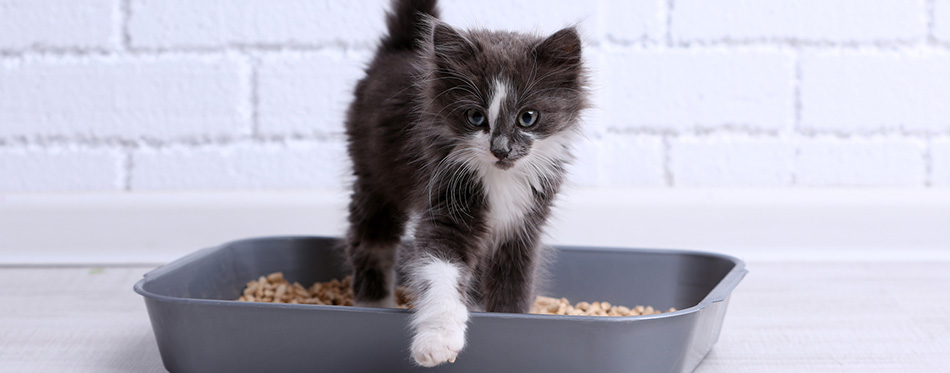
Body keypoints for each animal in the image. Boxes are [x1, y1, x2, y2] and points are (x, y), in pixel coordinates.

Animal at [342, 0, 588, 364]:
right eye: (475, 117)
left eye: (528, 118)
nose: (501, 149)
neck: (501, 179)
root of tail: (400, 49)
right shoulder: (446, 202)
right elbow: (440, 270)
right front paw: (437, 340)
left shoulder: (523, 227)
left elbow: (514, 284)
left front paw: (512, 322)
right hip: (374, 176)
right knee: (369, 241)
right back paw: (373, 302)